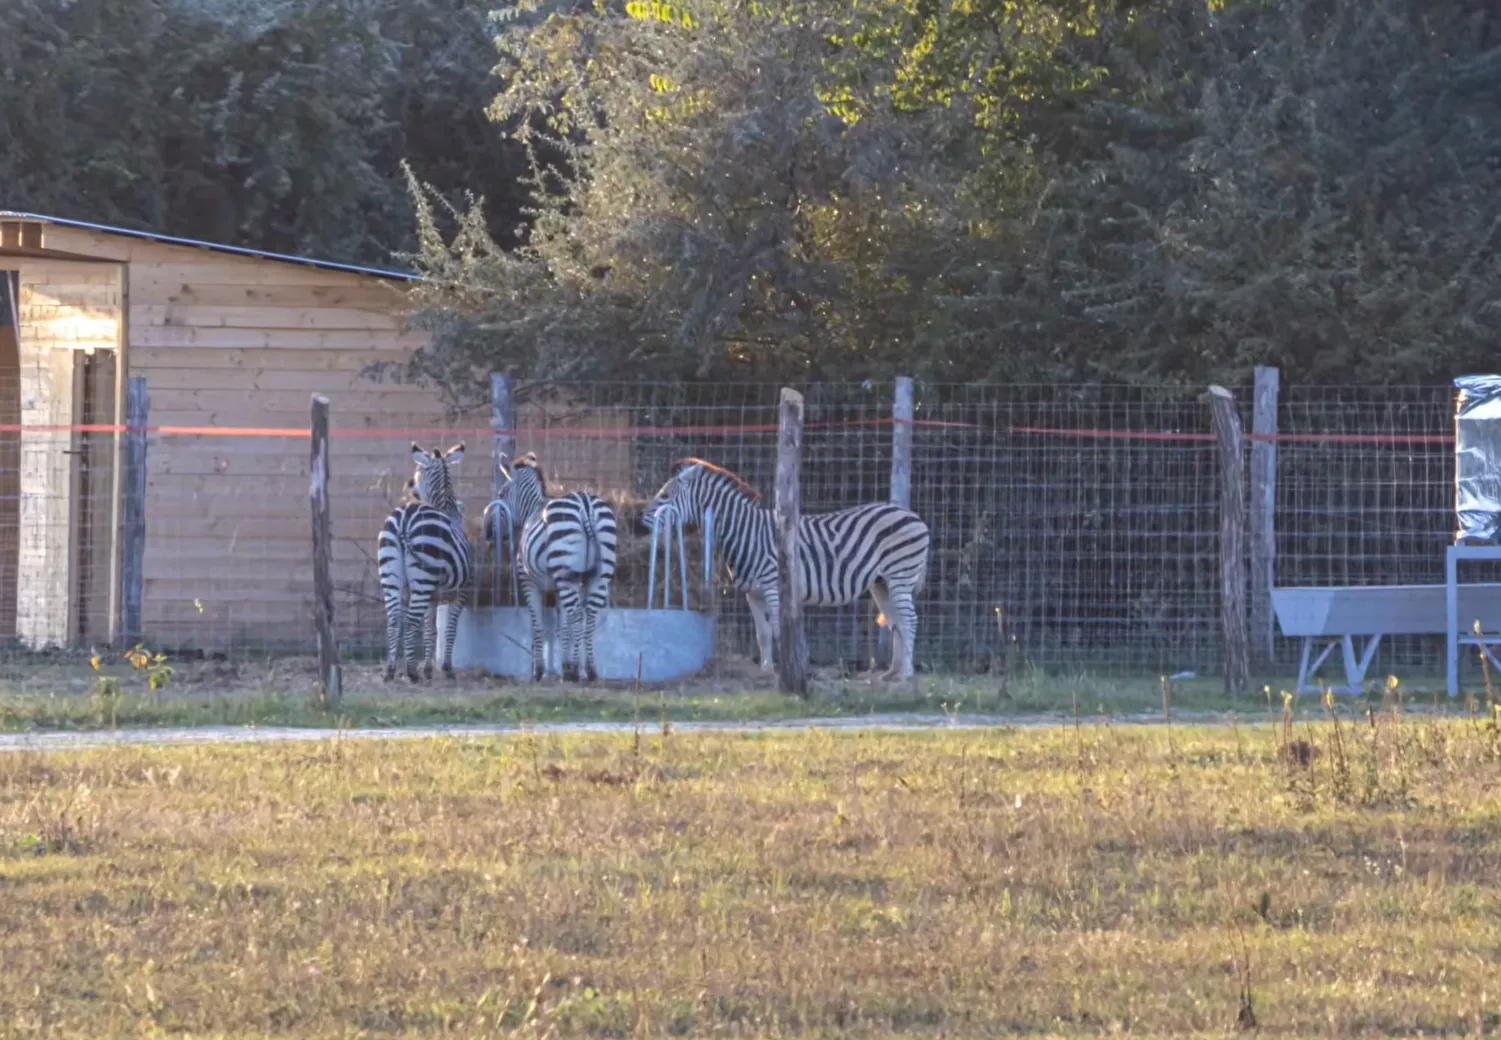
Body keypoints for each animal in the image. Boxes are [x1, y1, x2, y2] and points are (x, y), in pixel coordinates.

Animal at [377, 442, 474, 682]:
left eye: (417, 473)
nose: (410, 489)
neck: (446, 507)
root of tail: (403, 520)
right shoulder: (461, 589)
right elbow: (450, 628)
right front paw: (446, 668)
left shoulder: (432, 593)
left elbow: (431, 628)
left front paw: (429, 669)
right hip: (422, 578)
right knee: (411, 619)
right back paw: (411, 672)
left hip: (392, 574)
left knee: (394, 618)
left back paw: (391, 670)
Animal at [482, 452, 619, 682]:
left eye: (501, 494)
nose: (488, 532)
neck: (532, 509)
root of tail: (586, 504)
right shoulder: (562, 586)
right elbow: (562, 625)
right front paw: (566, 663)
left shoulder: (528, 581)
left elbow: (537, 625)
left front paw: (539, 670)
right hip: (598, 575)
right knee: (589, 615)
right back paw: (590, 670)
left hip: (566, 571)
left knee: (577, 614)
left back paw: (573, 673)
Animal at [640, 458, 930, 680]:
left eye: (665, 495)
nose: (638, 520)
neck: (746, 533)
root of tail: (914, 516)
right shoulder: (752, 593)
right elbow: (763, 634)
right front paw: (766, 671)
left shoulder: (772, 586)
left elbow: (780, 631)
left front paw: (784, 673)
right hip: (881, 582)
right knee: (896, 621)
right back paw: (891, 673)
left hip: (900, 574)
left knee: (909, 619)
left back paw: (906, 675)